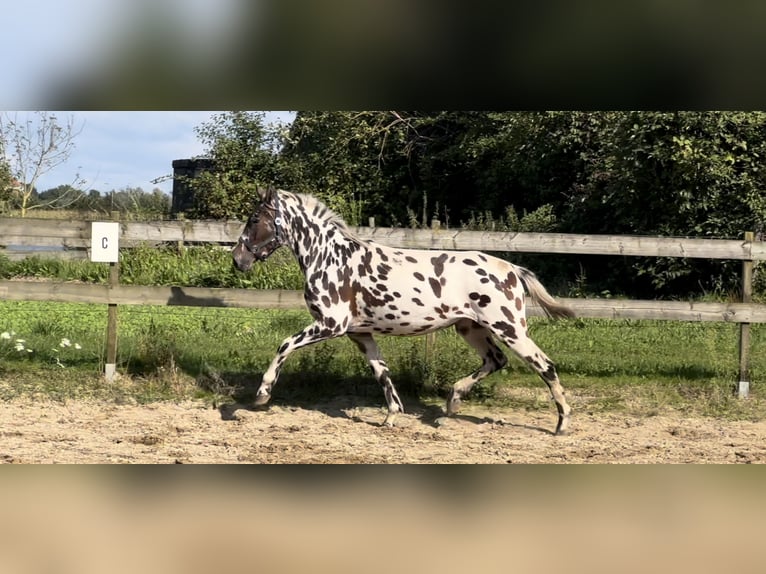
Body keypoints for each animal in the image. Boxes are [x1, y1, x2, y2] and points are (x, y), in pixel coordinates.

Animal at [234, 189, 576, 436]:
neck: (331, 258)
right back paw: (452, 402)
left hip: (509, 328)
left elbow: (284, 345)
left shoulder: (330, 324)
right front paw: (392, 416)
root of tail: (513, 270)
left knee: (545, 366)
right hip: (470, 328)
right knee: (496, 360)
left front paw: (262, 394)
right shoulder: (359, 334)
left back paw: (562, 425)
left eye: (254, 219)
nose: (238, 259)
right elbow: (381, 372)